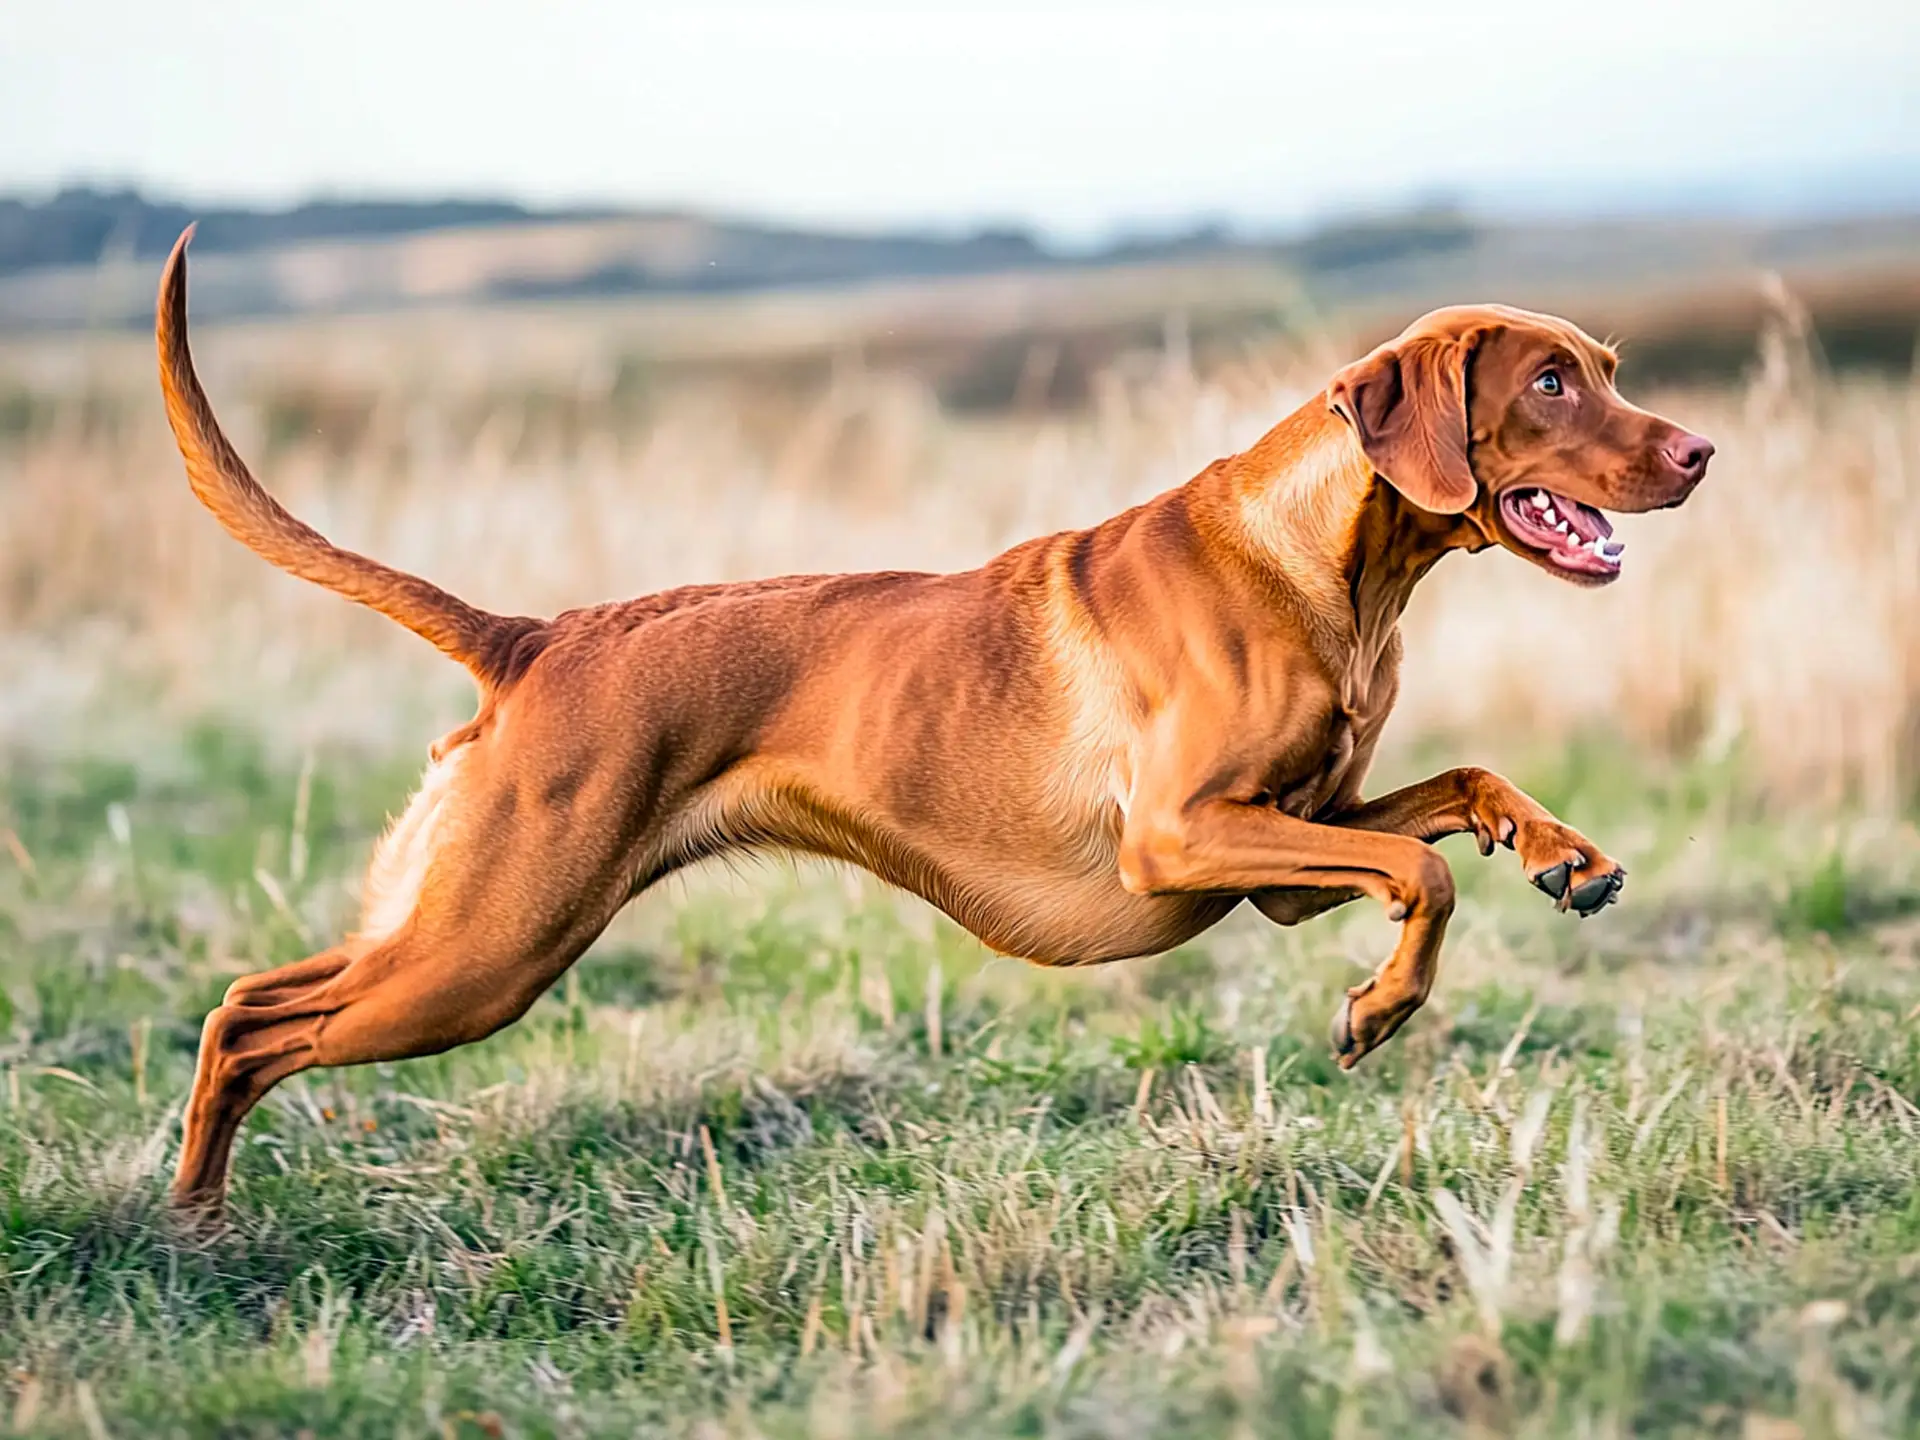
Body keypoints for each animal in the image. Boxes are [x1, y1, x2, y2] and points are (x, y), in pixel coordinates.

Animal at [149, 225, 1712, 1213]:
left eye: (1609, 365)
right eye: (1551, 382)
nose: (1703, 451)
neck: (1326, 563)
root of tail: (530, 642)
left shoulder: (1284, 848)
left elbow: (1457, 791)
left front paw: (1562, 852)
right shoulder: (1181, 838)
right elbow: (1420, 873)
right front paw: (1382, 1008)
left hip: (463, 930)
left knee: (257, 1002)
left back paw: (198, 1217)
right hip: (487, 950)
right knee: (247, 1021)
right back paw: (191, 1221)